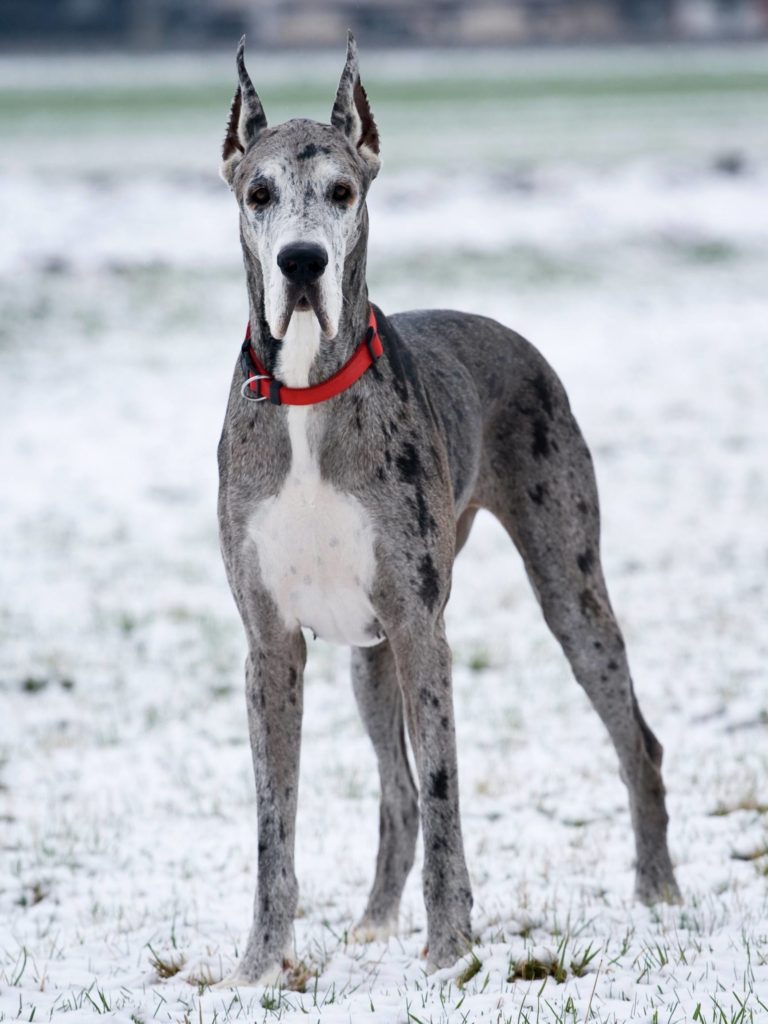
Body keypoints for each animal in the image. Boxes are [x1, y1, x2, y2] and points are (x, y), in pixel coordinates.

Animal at [217, 36, 679, 987]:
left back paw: (657, 891)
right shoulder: (270, 645)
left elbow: (444, 793)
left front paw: (452, 949)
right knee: (393, 793)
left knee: (635, 743)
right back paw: (372, 919)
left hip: (569, 594)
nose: (302, 263)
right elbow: (276, 818)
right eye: (259, 193)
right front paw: (259, 966)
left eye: (342, 192)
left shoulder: (424, 632)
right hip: (370, 658)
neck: (308, 389)